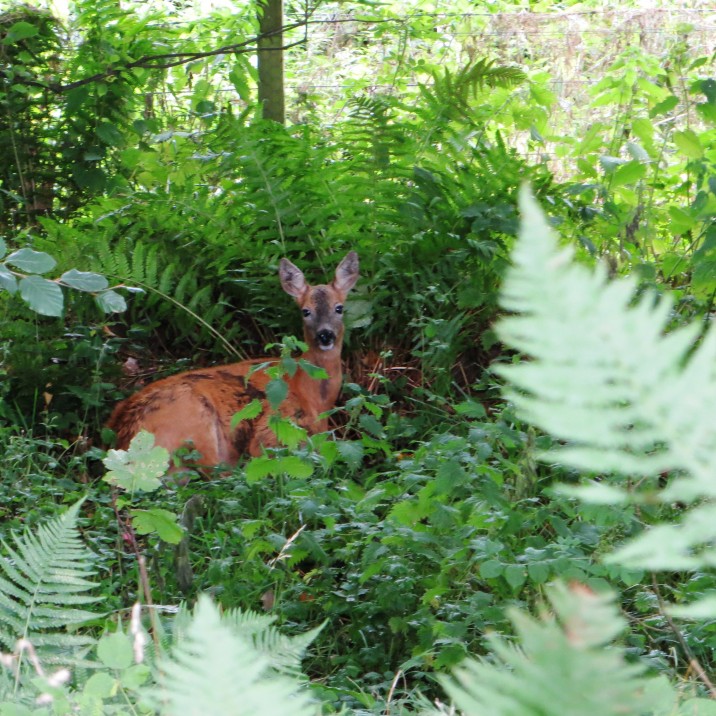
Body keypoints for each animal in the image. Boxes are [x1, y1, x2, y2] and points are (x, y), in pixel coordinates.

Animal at [106, 252, 360, 466]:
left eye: (339, 308)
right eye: (306, 311)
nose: (325, 335)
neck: (313, 397)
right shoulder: (273, 431)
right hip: (197, 425)